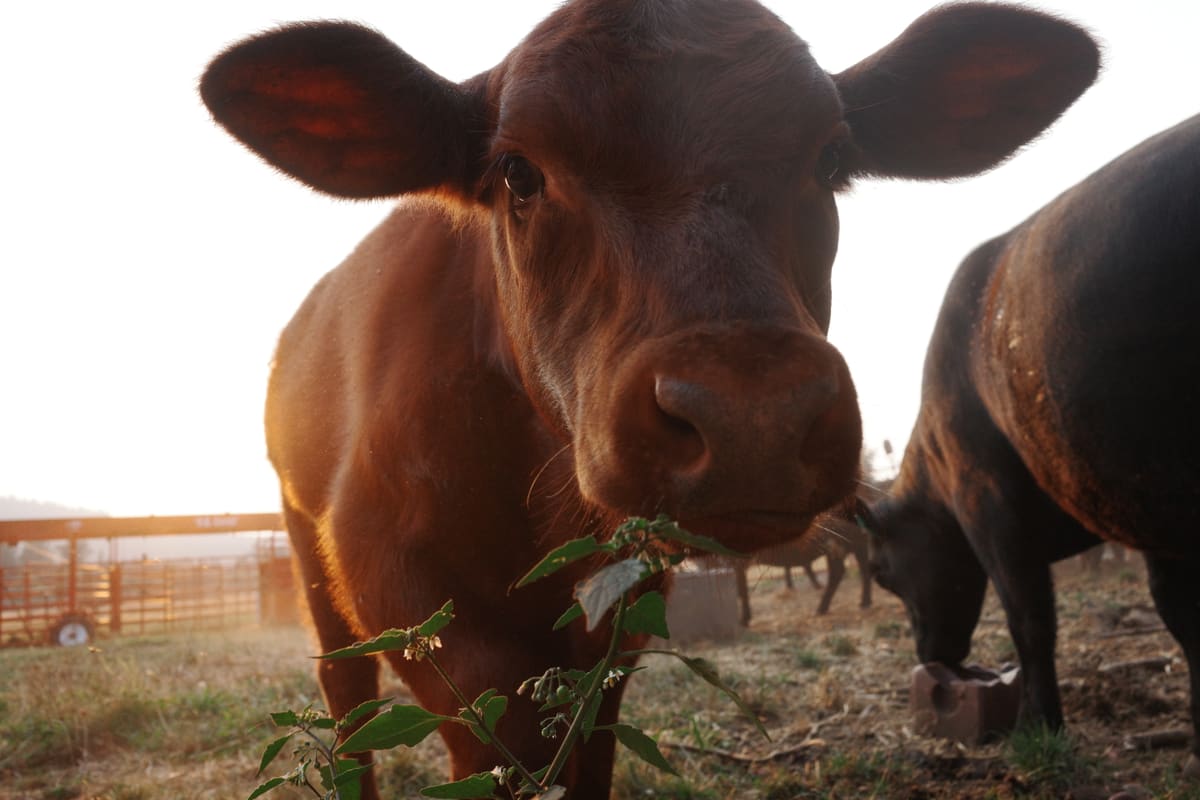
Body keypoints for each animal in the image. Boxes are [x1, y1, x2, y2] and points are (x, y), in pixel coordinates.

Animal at [199, 1, 1098, 796]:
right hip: (309, 551)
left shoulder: (622, 610)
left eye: (832, 159)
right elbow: (498, 731)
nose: (752, 415)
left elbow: (586, 741)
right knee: (346, 706)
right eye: (517, 172)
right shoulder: (389, 568)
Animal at [866, 114, 1200, 779]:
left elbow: (1030, 620)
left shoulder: (990, 506)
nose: (928, 655)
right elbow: (1184, 618)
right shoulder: (1145, 510)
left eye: (882, 571)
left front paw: (1038, 722)